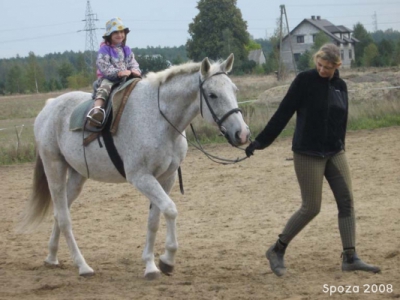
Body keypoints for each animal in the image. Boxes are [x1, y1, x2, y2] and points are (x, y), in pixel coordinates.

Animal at [20, 53, 250, 278]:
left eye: (234, 90)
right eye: (212, 94)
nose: (242, 134)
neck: (160, 119)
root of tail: (49, 106)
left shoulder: (166, 178)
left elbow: (154, 219)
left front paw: (151, 264)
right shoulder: (141, 177)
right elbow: (170, 210)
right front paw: (167, 260)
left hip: (77, 177)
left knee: (59, 212)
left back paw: (52, 257)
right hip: (54, 168)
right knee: (64, 217)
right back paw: (82, 266)